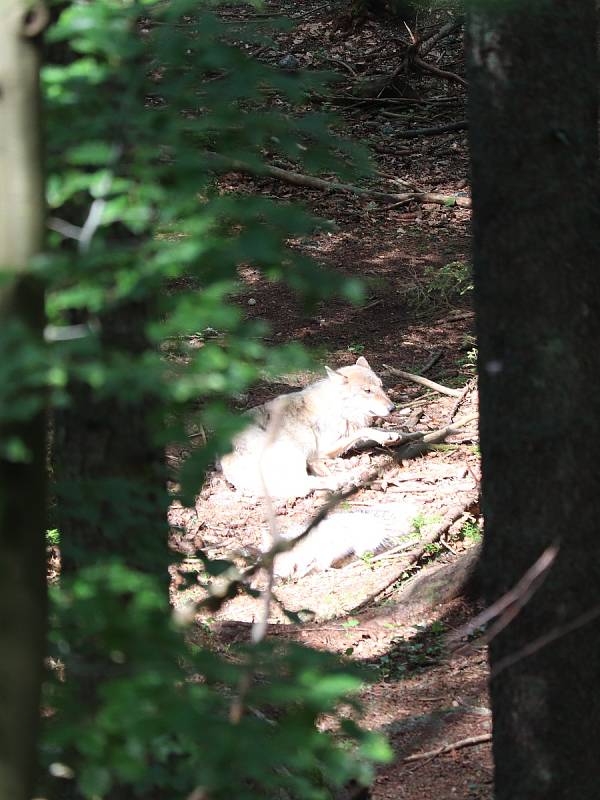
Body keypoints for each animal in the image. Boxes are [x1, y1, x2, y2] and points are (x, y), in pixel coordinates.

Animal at [220, 354, 398, 494]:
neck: (338, 409)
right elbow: (363, 431)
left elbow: (367, 431)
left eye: (381, 386)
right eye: (367, 391)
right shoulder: (324, 448)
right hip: (295, 451)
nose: (393, 408)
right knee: (305, 482)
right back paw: (348, 477)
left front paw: (393, 435)